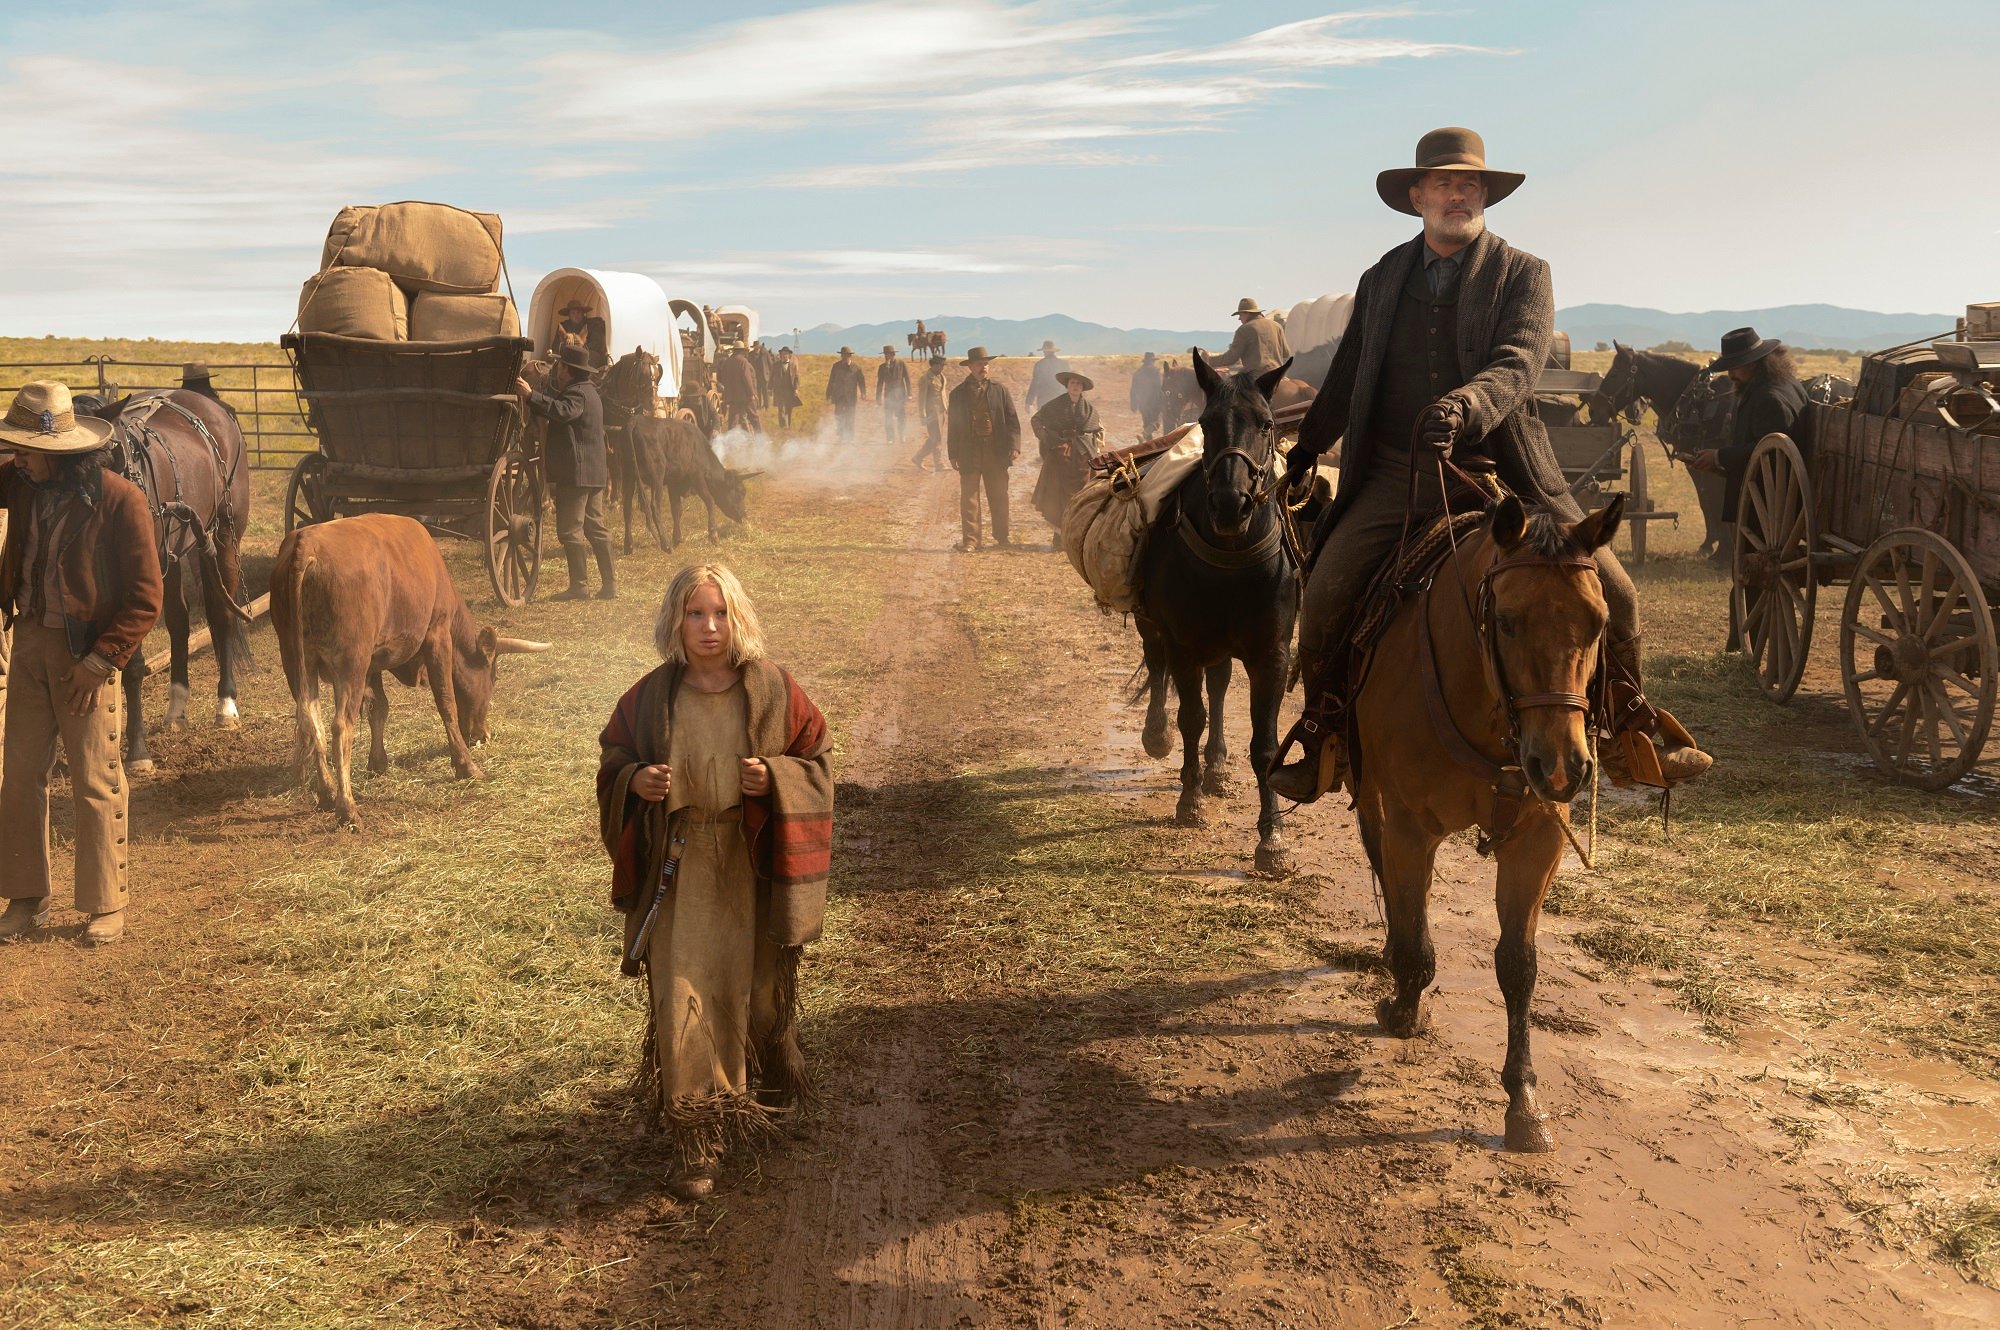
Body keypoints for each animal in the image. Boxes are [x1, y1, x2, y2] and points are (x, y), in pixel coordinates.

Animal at [83, 386, 254, 768]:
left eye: (109, 456)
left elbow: (131, 664)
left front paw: (137, 751)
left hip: (223, 537)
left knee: (221, 616)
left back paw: (226, 707)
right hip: (173, 555)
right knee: (178, 621)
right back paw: (176, 710)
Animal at [274, 512, 552, 824]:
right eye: (493, 678)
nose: (485, 734)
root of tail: (305, 544)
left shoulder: (373, 662)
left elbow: (379, 708)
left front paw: (378, 762)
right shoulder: (437, 635)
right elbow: (446, 703)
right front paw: (465, 765)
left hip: (297, 664)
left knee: (313, 725)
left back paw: (327, 793)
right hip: (350, 664)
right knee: (340, 727)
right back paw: (347, 808)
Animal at [1136, 348, 1304, 876]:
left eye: (1267, 424)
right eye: (1207, 423)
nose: (1232, 504)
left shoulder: (1271, 655)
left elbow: (1266, 746)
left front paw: (1272, 839)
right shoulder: (1185, 644)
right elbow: (1191, 716)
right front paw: (1188, 801)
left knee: (1220, 685)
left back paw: (1217, 764)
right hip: (1156, 628)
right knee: (1157, 666)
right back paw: (1159, 736)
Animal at [1352, 492, 1616, 1144]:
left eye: (1599, 622)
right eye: (1508, 621)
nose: (1562, 766)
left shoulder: (1537, 840)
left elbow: (1518, 965)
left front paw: (1523, 1101)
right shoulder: (1411, 827)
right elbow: (1414, 935)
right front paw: (1403, 1008)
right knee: (1378, 855)